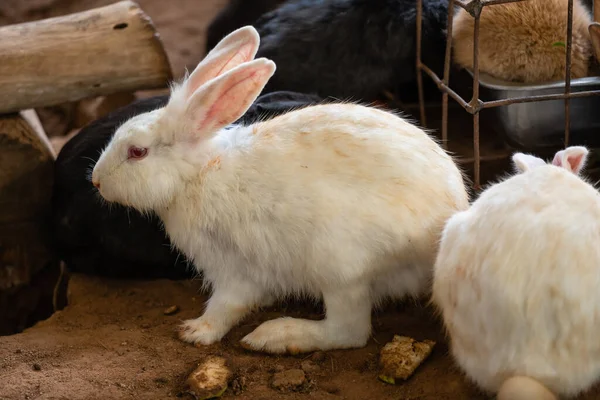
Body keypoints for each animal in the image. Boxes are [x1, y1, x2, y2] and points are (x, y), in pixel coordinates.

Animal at [91, 25, 472, 354]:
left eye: (137, 152)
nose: (96, 181)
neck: (199, 173)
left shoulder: (231, 266)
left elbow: (226, 305)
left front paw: (195, 331)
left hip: (341, 267)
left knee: (348, 331)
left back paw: (274, 335)